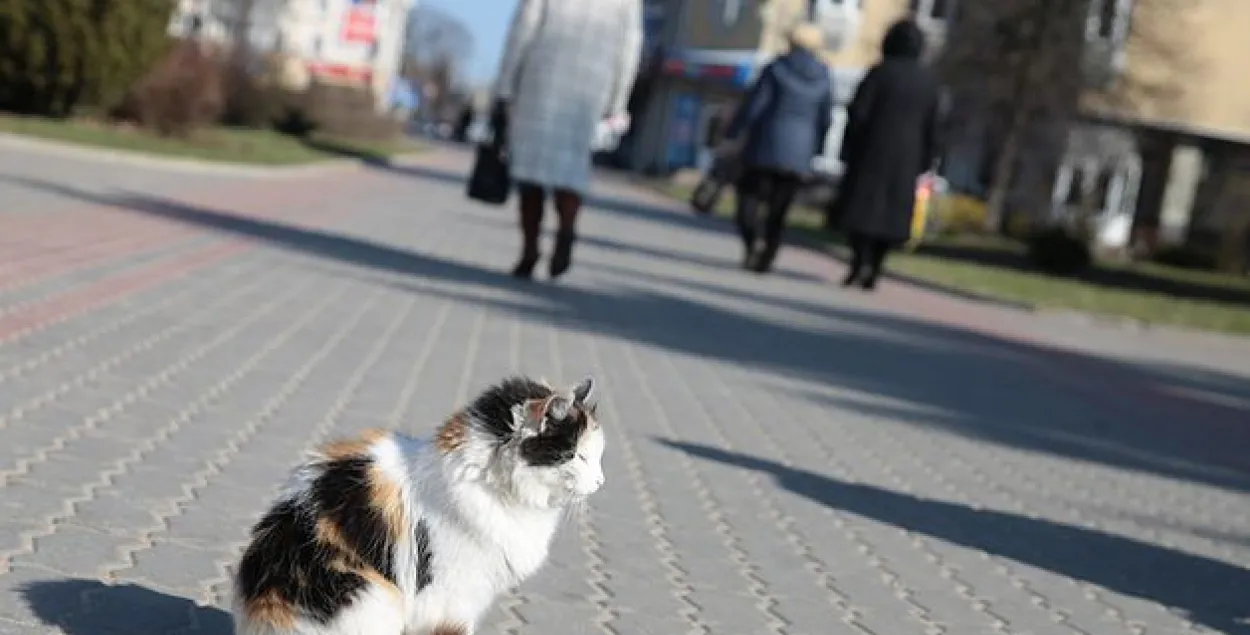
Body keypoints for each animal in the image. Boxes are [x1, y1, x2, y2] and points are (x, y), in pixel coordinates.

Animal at [236, 375, 607, 632]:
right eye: (578, 456)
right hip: (372, 596)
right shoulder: (449, 600)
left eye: (596, 456)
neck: (489, 484)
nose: (601, 482)